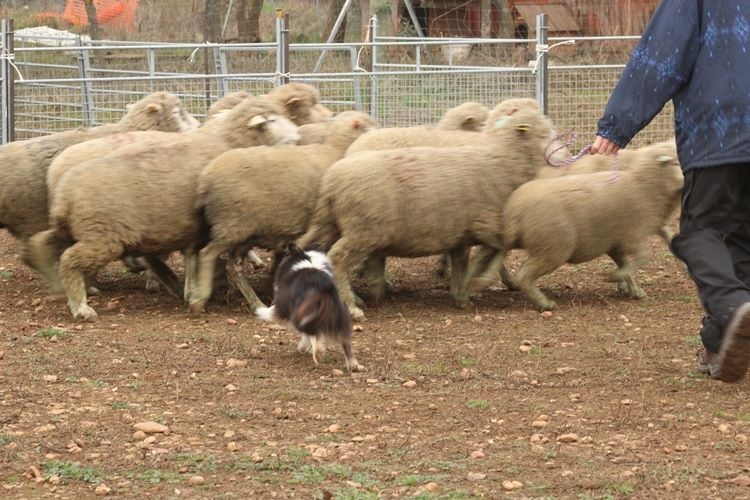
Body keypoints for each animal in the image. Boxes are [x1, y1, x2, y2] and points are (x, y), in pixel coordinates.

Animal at [26, 96, 302, 320]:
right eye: (271, 119)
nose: (299, 137)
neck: (225, 141)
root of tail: (64, 193)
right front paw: (199, 294)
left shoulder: (194, 229)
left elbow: (192, 259)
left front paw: (191, 291)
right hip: (102, 235)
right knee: (69, 260)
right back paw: (81, 306)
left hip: (77, 229)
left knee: (43, 242)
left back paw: (54, 279)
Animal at [258, 242, 362, 372]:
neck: (307, 260)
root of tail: (324, 289)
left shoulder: (284, 306)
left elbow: (273, 312)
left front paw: (261, 311)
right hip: (339, 317)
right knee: (345, 341)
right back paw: (353, 365)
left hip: (302, 314)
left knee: (313, 333)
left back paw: (316, 353)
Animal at [300, 103, 560, 318]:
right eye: (544, 132)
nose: (563, 150)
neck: (504, 159)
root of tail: (332, 180)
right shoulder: (487, 224)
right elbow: (496, 252)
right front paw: (479, 281)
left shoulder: (462, 231)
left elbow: (463, 261)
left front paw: (461, 292)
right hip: (363, 230)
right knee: (337, 257)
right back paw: (353, 305)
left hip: (333, 224)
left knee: (313, 247)